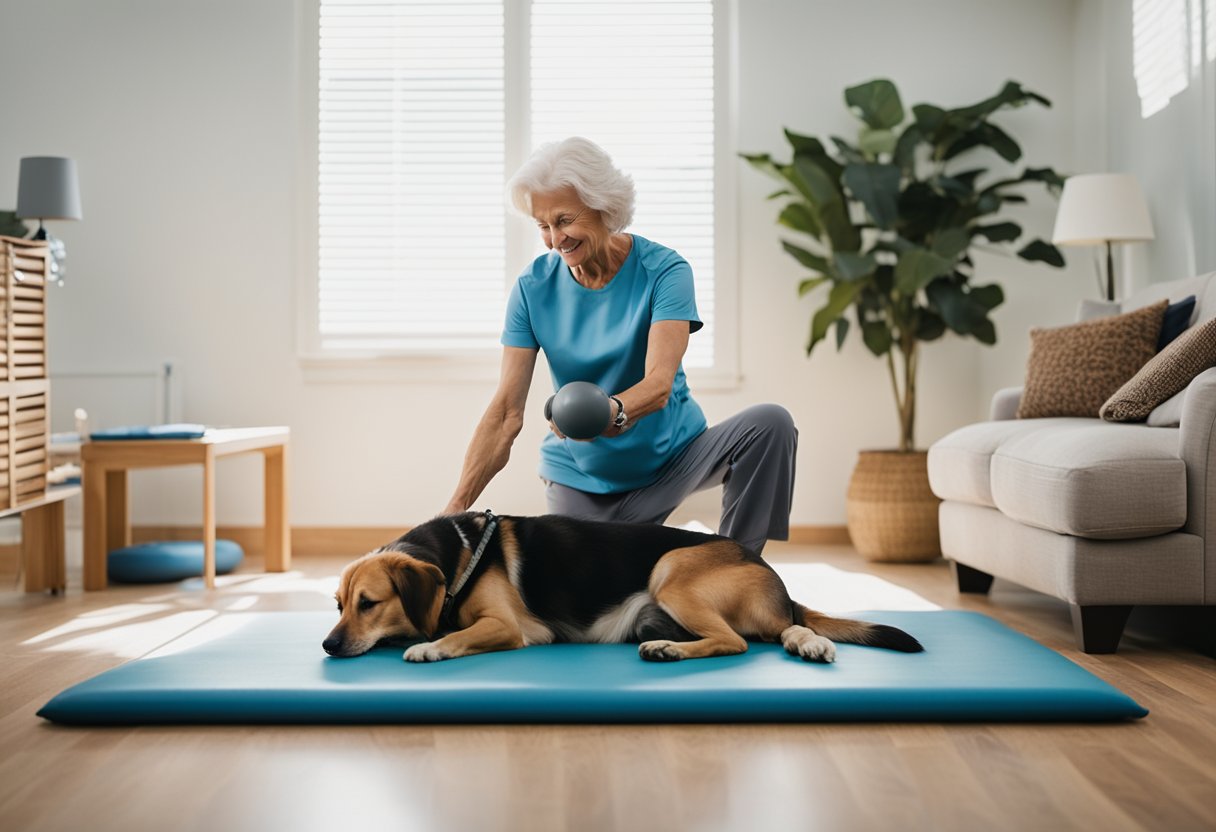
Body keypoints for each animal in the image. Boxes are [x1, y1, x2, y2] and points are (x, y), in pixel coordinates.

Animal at [323, 506, 919, 661]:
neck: (460, 555)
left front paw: (430, 647)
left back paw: (670, 651)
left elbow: (456, 636)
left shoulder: (510, 629)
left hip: (670, 571)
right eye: (336, 605)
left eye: (369, 603)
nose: (327, 645)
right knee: (774, 634)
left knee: (737, 641)